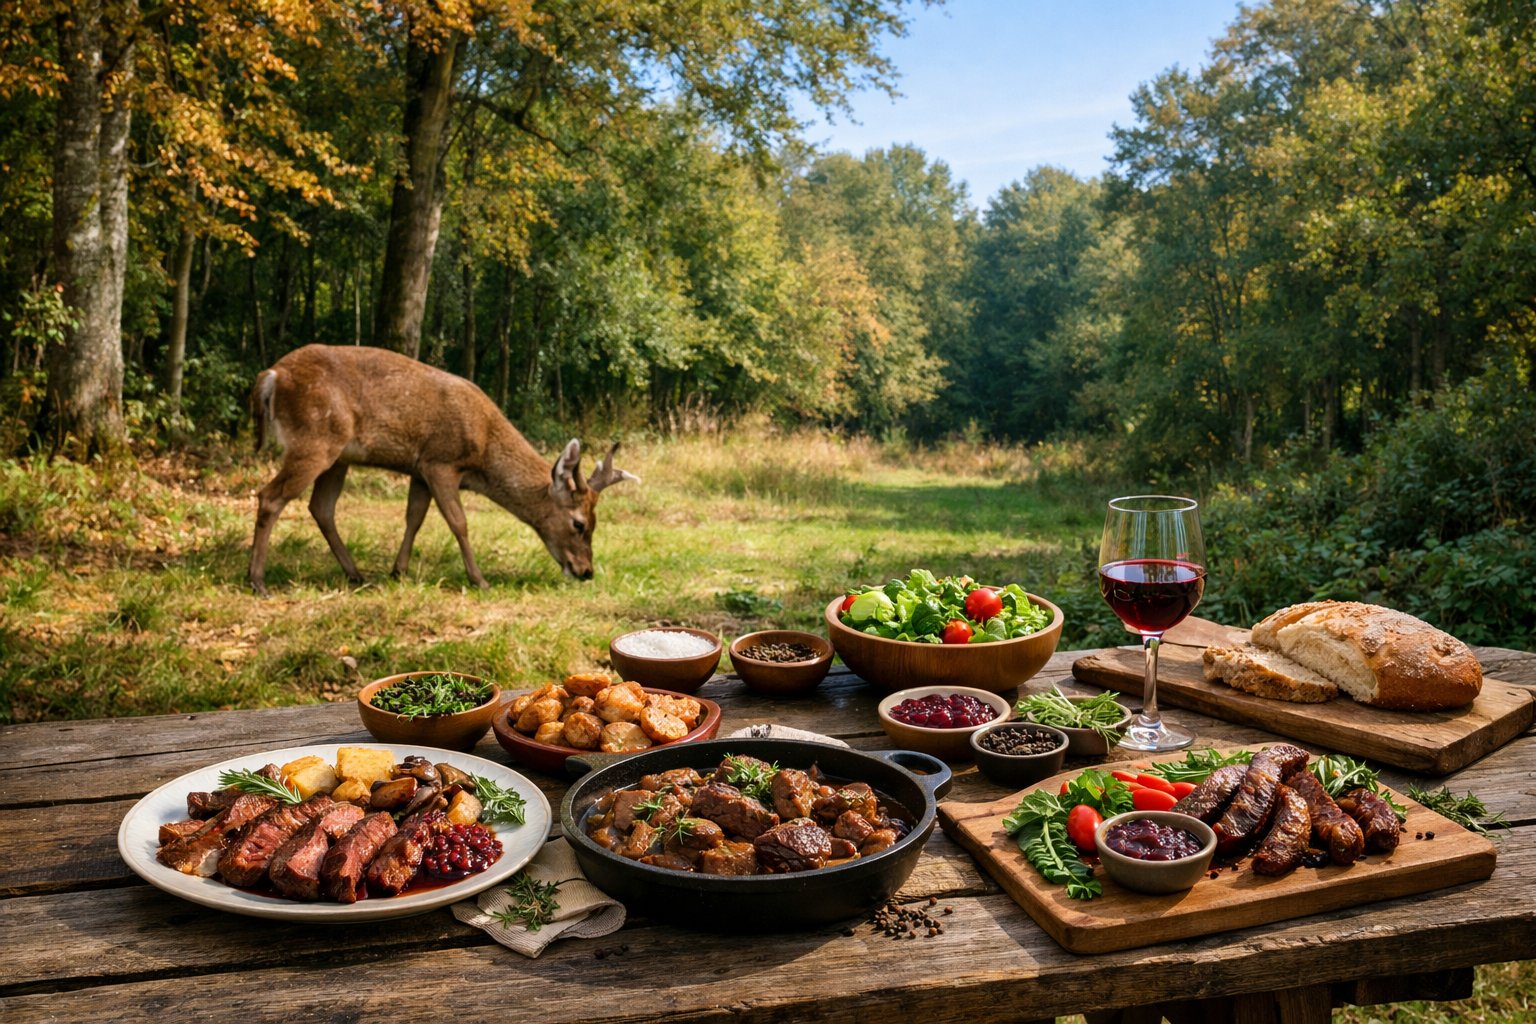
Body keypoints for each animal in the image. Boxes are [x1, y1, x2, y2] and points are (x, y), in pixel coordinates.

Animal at [246, 344, 638, 596]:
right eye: (579, 524)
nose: (586, 571)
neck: (483, 455)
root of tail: (271, 375)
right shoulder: (441, 461)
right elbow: (458, 522)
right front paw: (479, 579)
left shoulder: (419, 469)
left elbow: (414, 518)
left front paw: (399, 570)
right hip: (315, 439)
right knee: (270, 496)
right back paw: (258, 580)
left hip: (337, 455)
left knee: (321, 507)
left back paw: (356, 574)